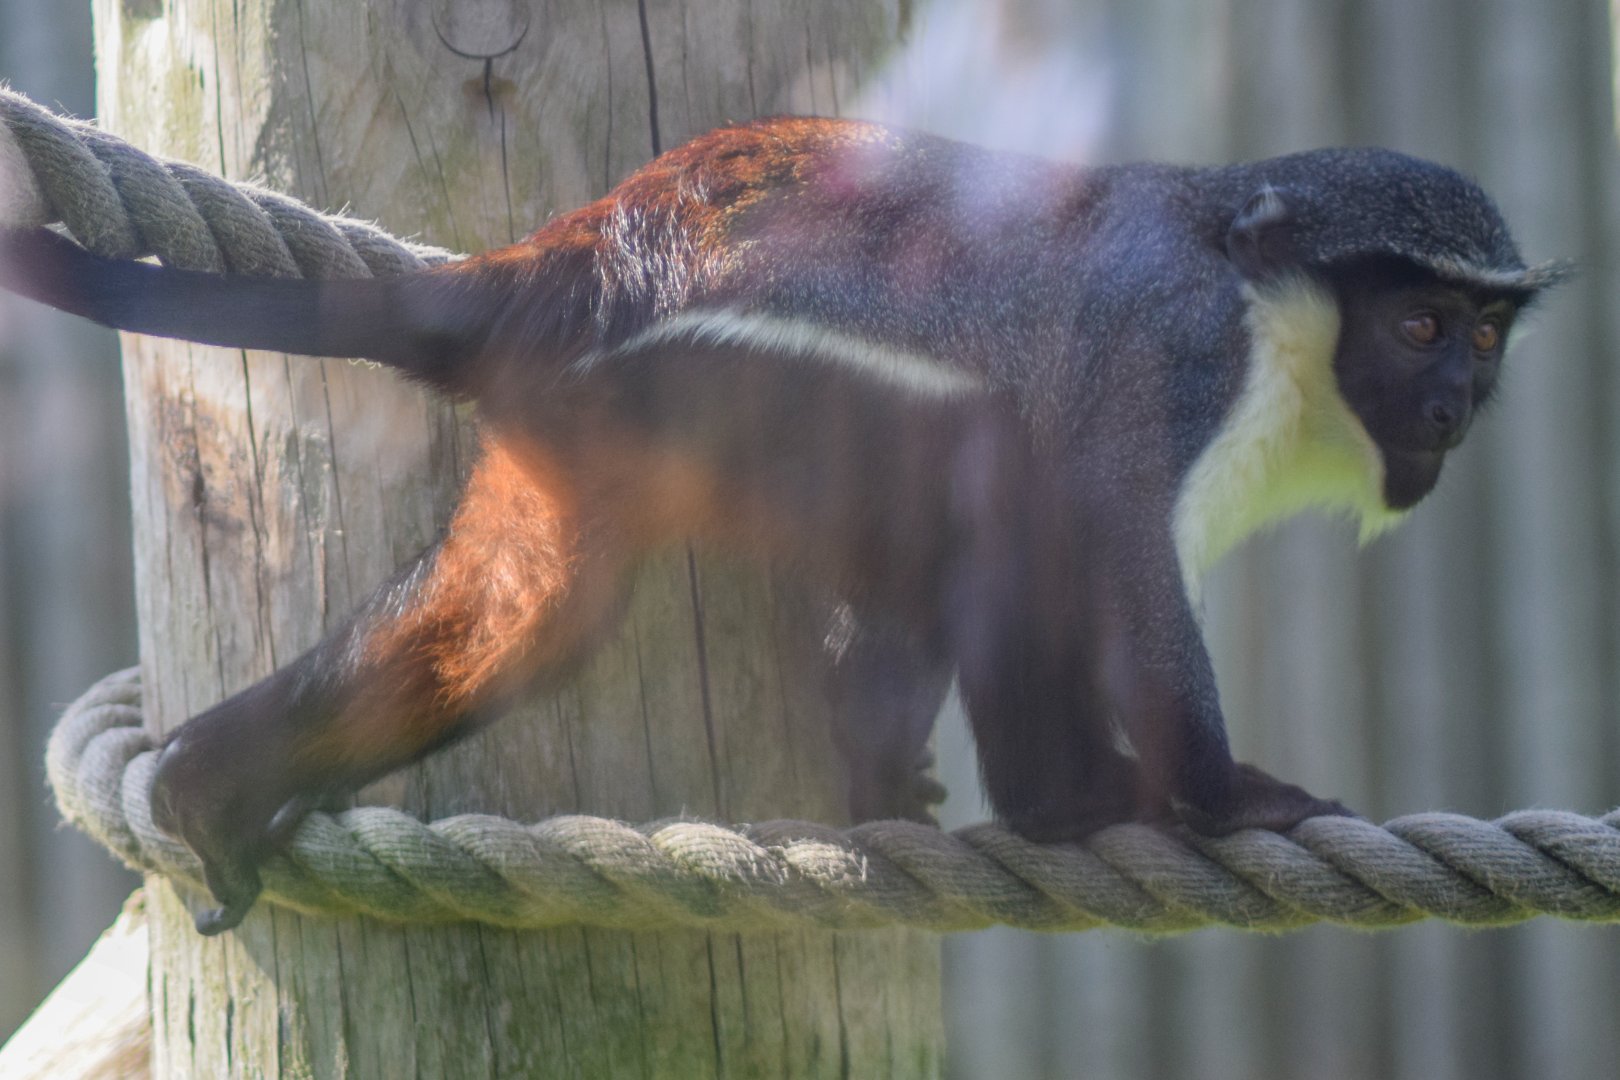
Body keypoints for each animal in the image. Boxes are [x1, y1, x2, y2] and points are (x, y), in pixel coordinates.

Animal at [0, 117, 1562, 934]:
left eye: (1486, 335)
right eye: (1419, 325)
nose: (1455, 400)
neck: (1273, 299)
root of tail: (566, 268)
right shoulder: (1182, 364)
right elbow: (1111, 539)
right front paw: (1228, 799)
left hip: (590, 427)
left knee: (523, 624)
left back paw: (210, 784)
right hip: (757, 390)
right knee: (1003, 494)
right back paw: (1056, 801)